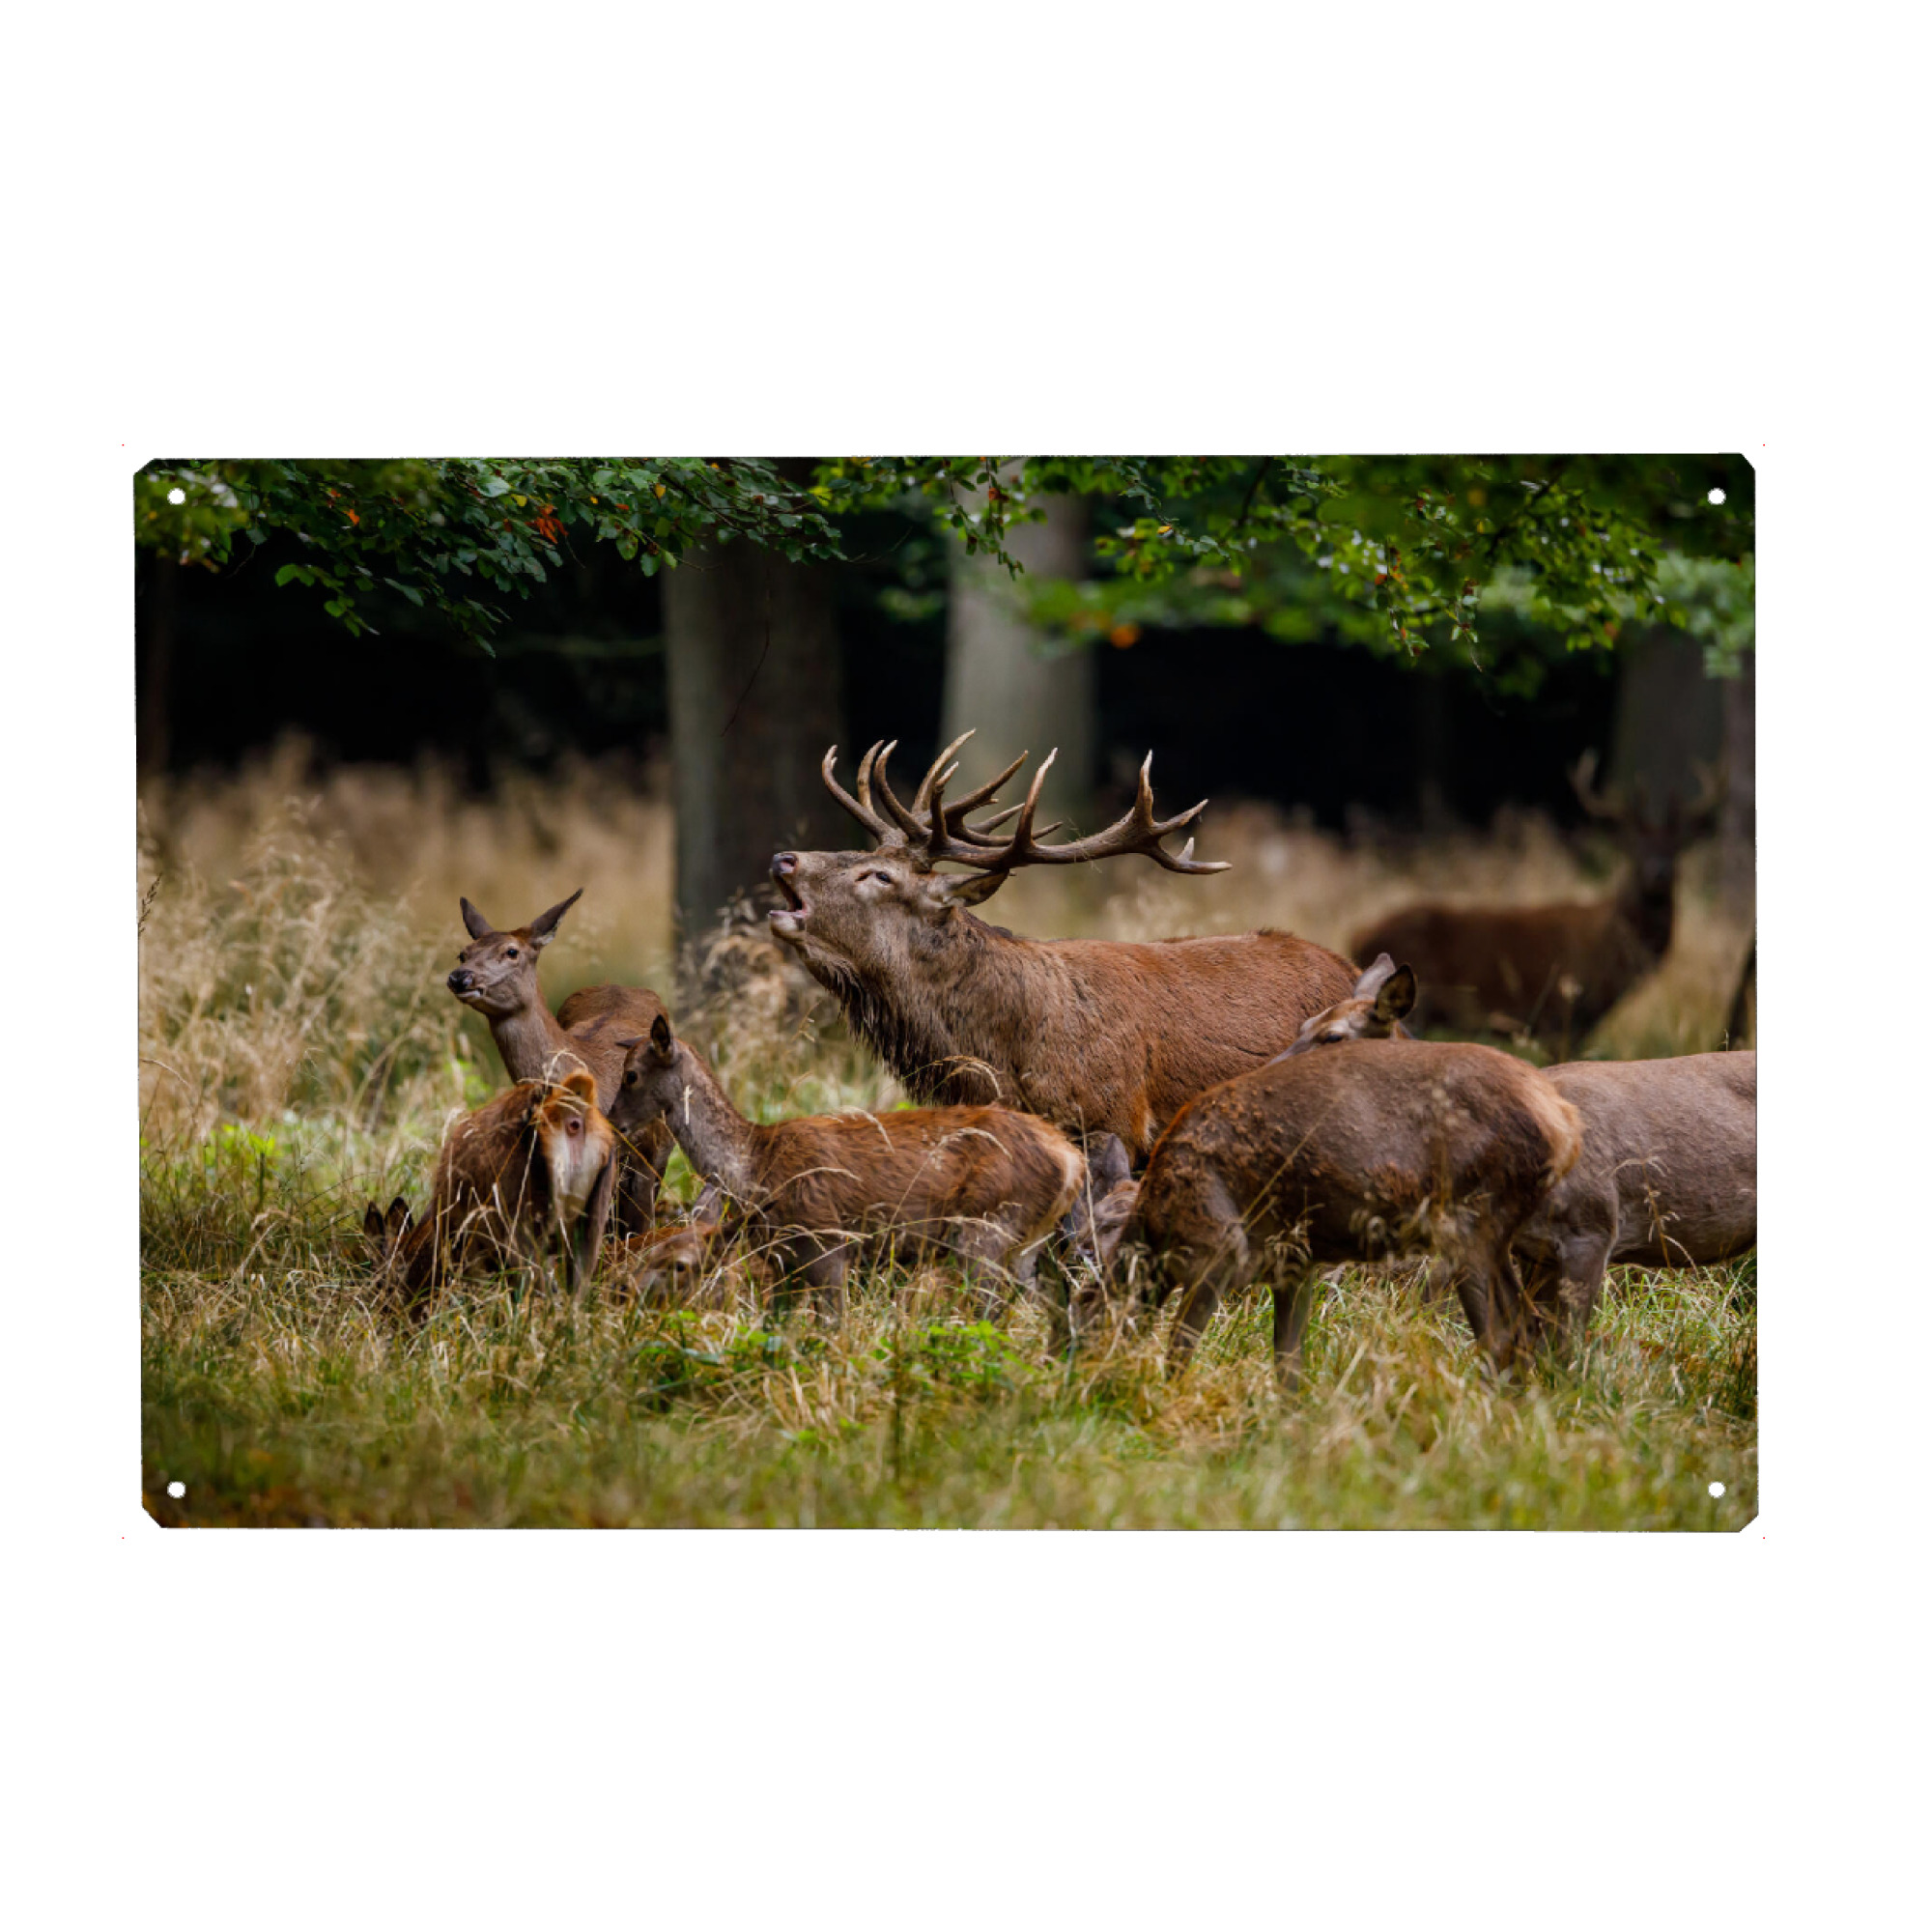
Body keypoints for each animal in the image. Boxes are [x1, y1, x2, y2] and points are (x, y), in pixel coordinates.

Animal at [608, 1013, 1086, 1333]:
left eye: (631, 1075)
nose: (612, 1122)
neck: (753, 1165)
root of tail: (1070, 1162)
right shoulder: (783, 1262)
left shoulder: (828, 1240)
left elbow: (831, 1327)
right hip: (1026, 1242)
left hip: (987, 1226)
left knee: (991, 1314)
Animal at [1090, 1019, 1585, 1388]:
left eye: (1080, 1315)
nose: (1083, 1390)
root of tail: (1564, 1124)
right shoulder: (1292, 1265)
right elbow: (1288, 1364)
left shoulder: (1217, 1249)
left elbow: (1179, 1350)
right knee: (1528, 1326)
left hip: (1470, 1220)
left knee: (1502, 1333)